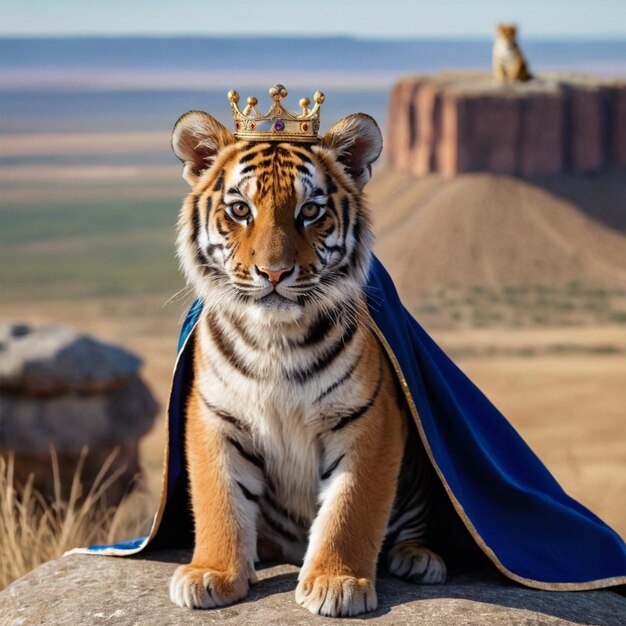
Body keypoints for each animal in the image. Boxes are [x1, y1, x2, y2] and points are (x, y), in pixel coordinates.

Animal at [168, 107, 446, 616]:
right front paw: (212, 573)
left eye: (310, 211)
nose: (274, 273)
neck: (275, 338)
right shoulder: (215, 415)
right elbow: (220, 499)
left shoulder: (368, 418)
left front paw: (337, 583)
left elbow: (350, 507)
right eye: (241, 210)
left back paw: (420, 558)